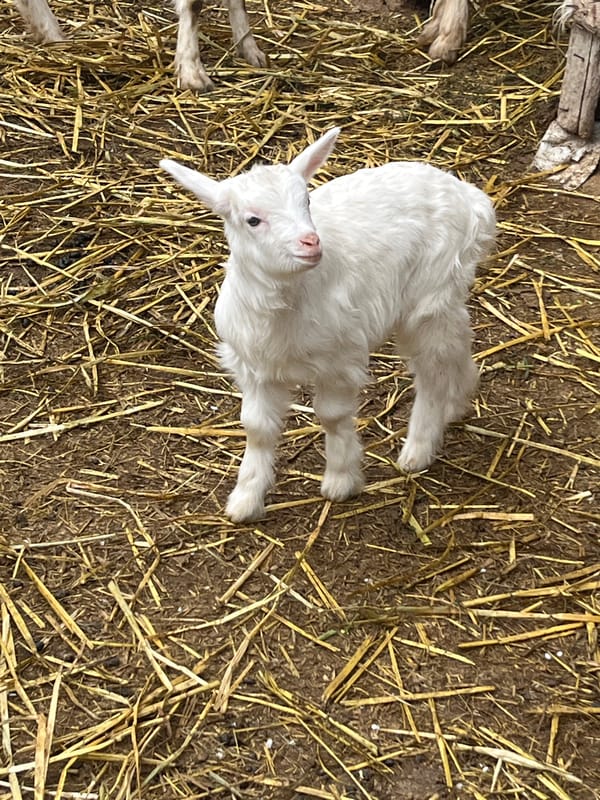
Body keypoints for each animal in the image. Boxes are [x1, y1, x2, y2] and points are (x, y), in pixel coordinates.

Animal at [160, 128, 496, 523]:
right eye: (252, 220)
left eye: (306, 200)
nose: (311, 242)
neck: (284, 311)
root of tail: (469, 197)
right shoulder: (253, 367)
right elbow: (256, 428)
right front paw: (245, 500)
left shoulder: (339, 357)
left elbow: (332, 416)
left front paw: (340, 479)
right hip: (441, 298)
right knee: (456, 341)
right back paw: (458, 399)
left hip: (430, 293)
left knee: (432, 369)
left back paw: (417, 449)